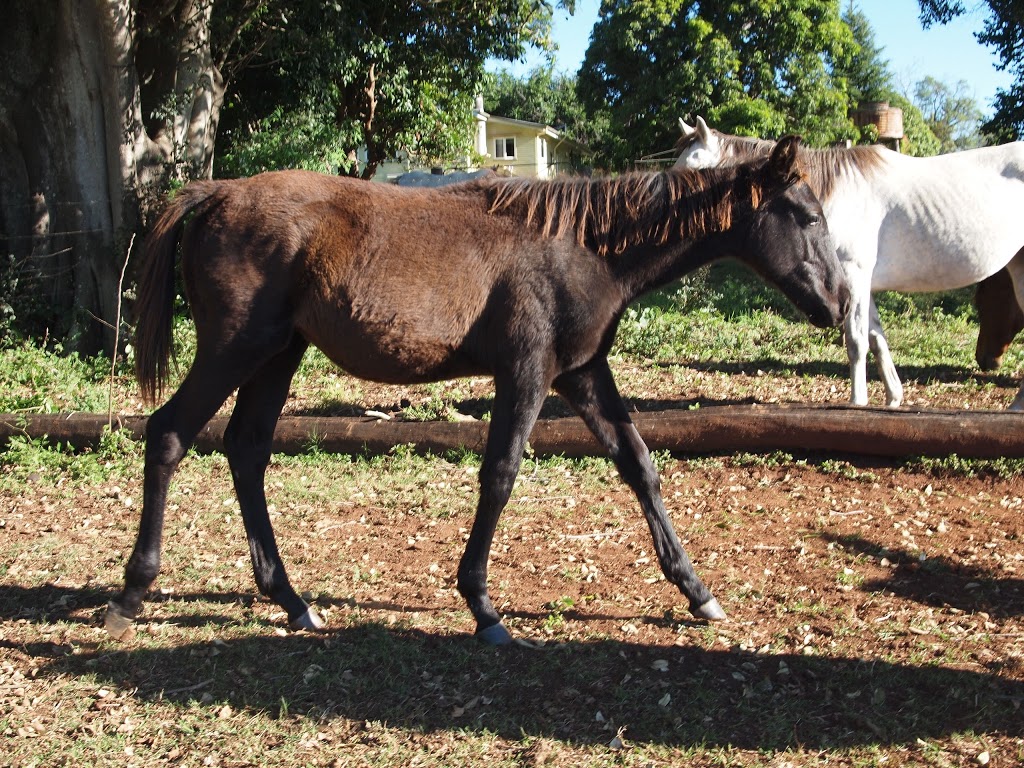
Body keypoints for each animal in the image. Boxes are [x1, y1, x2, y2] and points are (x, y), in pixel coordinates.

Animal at [108, 137, 851, 643]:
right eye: (807, 216)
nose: (840, 304)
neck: (582, 245)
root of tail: (215, 193)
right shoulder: (527, 371)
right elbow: (500, 473)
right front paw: (484, 607)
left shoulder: (582, 372)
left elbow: (639, 465)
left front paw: (698, 592)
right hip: (235, 349)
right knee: (169, 433)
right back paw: (131, 595)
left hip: (277, 355)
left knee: (246, 449)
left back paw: (292, 601)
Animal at [679, 117, 1024, 411]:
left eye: (693, 169)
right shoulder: (856, 285)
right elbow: (876, 337)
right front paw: (893, 399)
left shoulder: (853, 275)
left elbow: (856, 341)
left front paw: (858, 402)